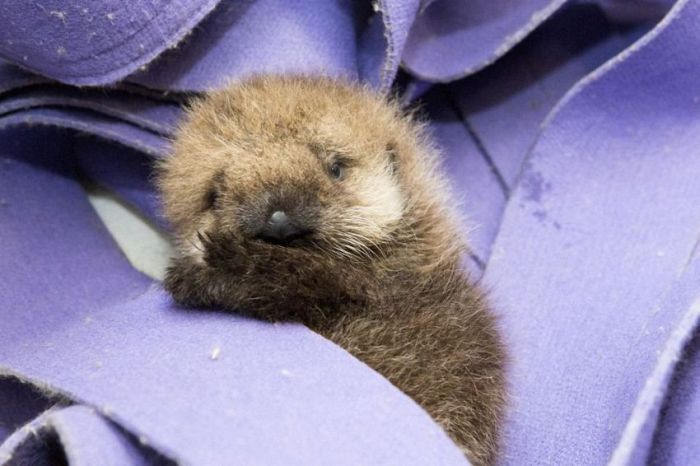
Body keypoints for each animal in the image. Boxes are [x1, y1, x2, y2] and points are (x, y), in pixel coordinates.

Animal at [157, 74, 504, 464]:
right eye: (215, 195)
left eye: (335, 167)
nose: (279, 222)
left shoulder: (372, 283)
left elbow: (299, 283)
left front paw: (215, 267)